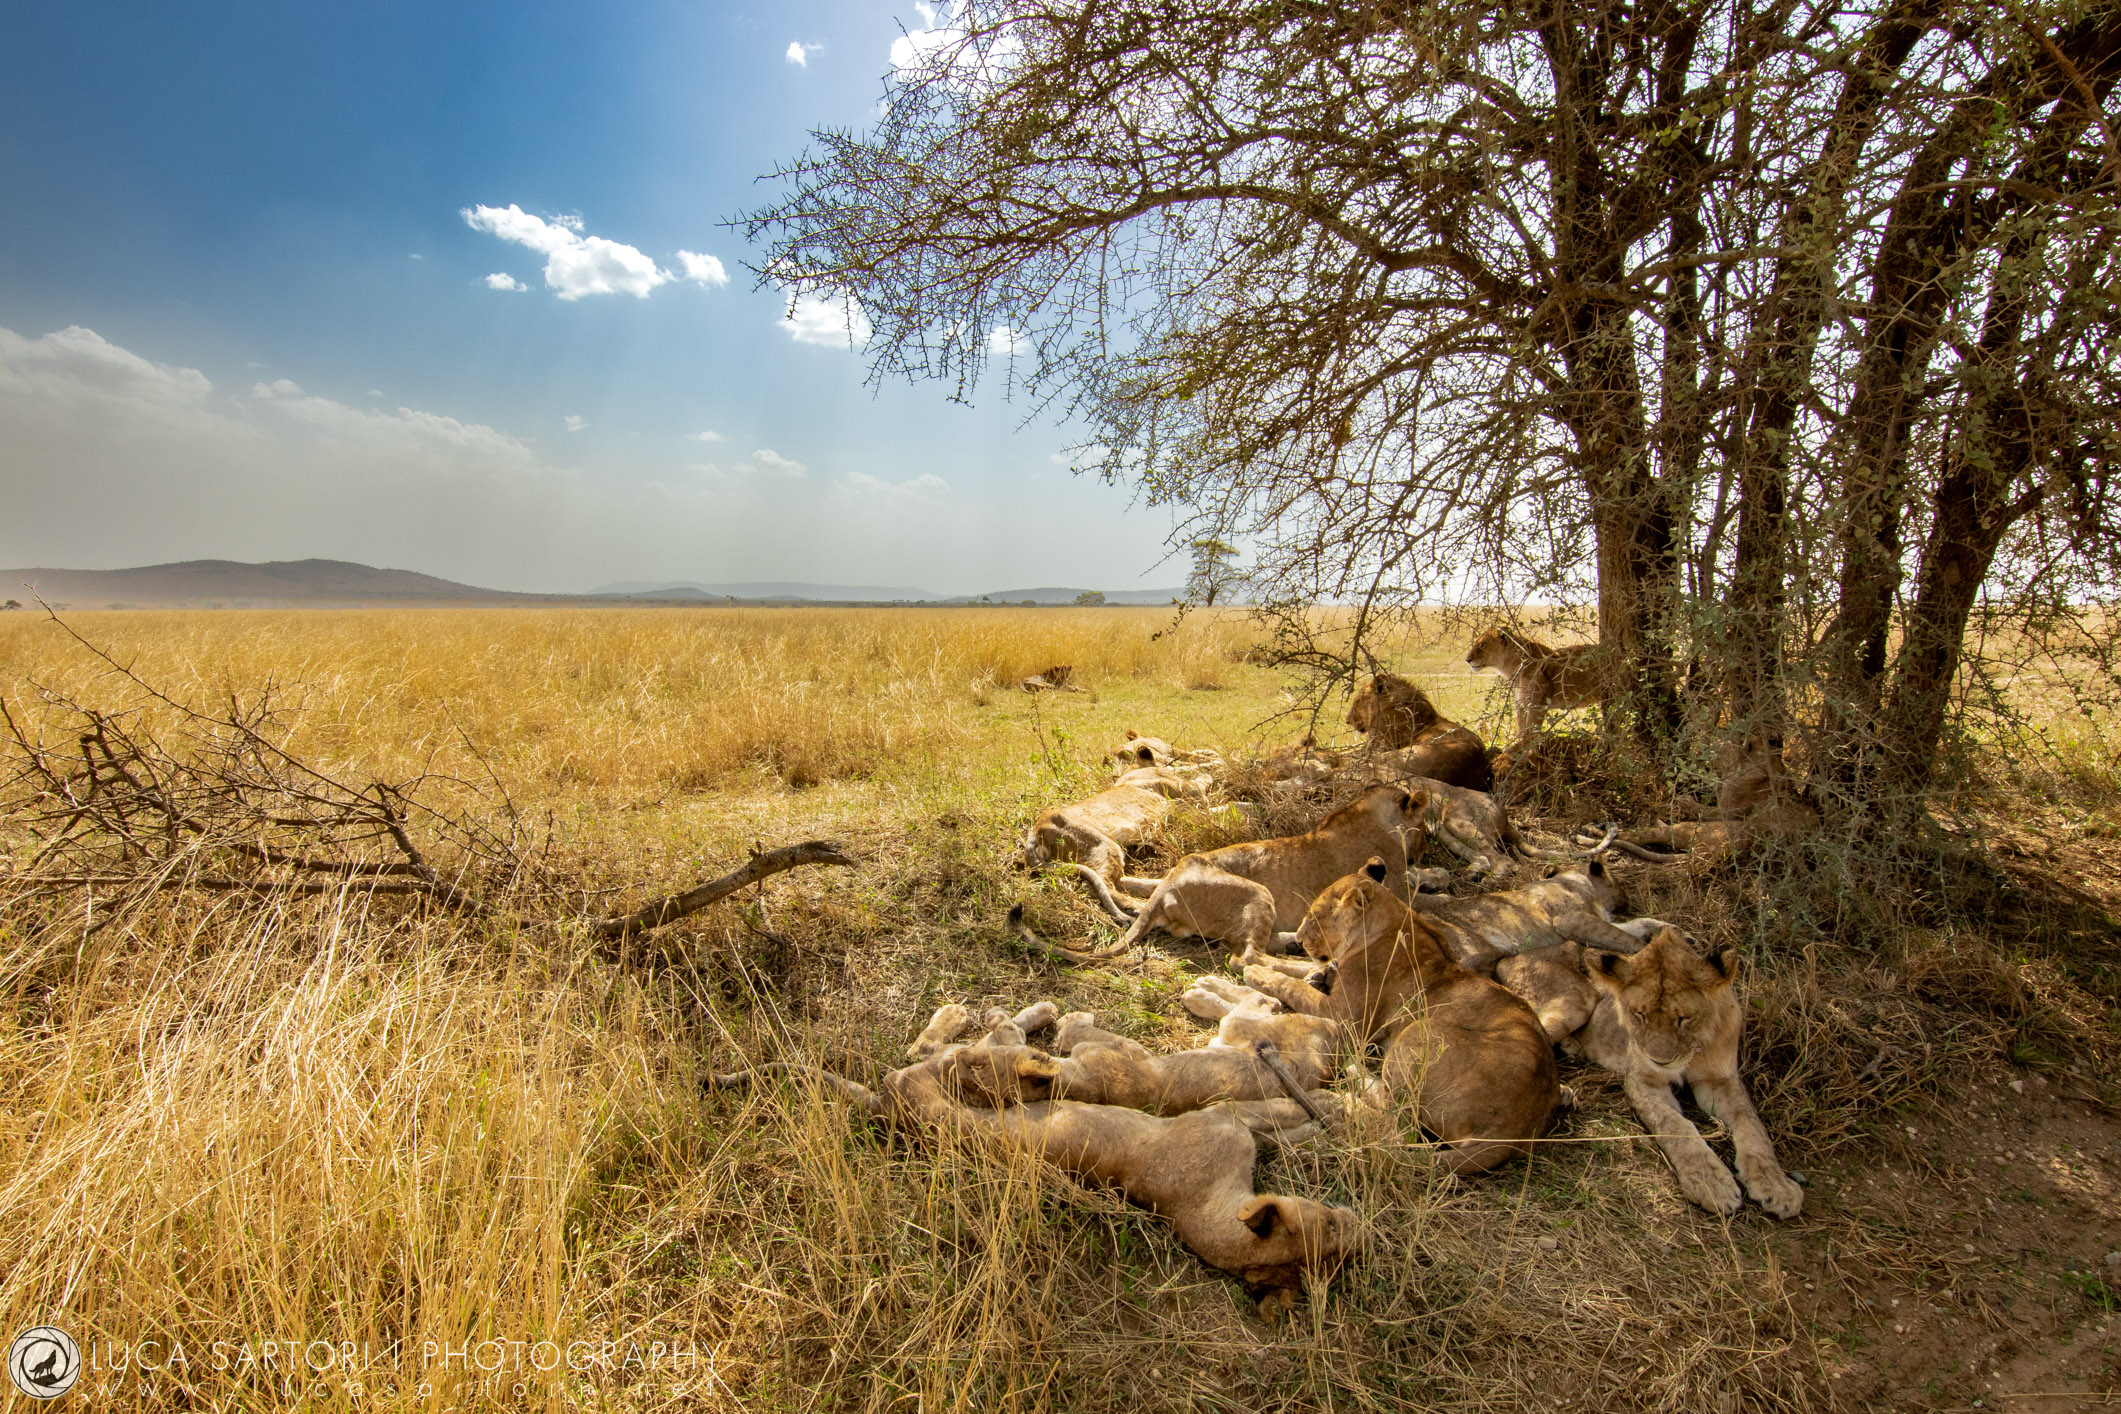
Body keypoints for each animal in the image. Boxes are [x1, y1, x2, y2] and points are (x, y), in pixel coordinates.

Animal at [1103, 784, 1429, 963]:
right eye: (1425, 828)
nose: (1423, 853)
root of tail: (1168, 887)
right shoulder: (1395, 890)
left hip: (1172, 877)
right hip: (1258, 892)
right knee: (1249, 956)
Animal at [1204, 861, 1563, 1174]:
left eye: (1315, 917)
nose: (1300, 940)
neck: (1394, 921)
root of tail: (1517, 1132)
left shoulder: (1344, 1017)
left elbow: (1290, 984)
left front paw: (1256, 972)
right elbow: (1296, 968)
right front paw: (1277, 964)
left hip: (1420, 1031)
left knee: (1395, 1116)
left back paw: (1349, 1078)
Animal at [1464, 628, 1609, 742]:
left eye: (1483, 645)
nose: (1467, 660)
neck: (1512, 667)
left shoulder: (1537, 705)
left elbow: (1530, 734)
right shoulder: (1520, 705)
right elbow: (1521, 732)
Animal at [1494, 925, 1804, 1218]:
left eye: (1683, 1019)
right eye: (1639, 1015)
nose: (1660, 1061)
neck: (1692, 1050)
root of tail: (1513, 957)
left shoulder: (1721, 1079)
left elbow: (1752, 1125)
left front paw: (1777, 1186)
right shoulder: (1642, 1081)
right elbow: (1674, 1125)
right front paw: (1710, 1183)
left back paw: (1573, 1049)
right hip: (1576, 1001)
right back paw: (1560, 1091)